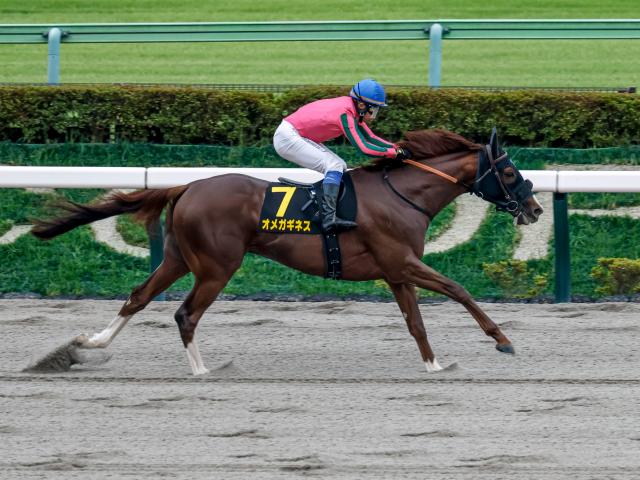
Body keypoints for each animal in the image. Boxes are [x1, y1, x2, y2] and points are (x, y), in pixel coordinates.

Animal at [31, 128, 543, 375]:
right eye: (510, 172)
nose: (536, 208)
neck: (403, 194)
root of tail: (187, 186)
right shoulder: (403, 261)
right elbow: (458, 289)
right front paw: (502, 339)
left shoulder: (396, 270)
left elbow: (415, 322)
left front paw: (435, 363)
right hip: (217, 266)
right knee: (185, 314)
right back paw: (203, 370)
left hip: (178, 257)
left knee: (138, 296)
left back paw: (87, 345)